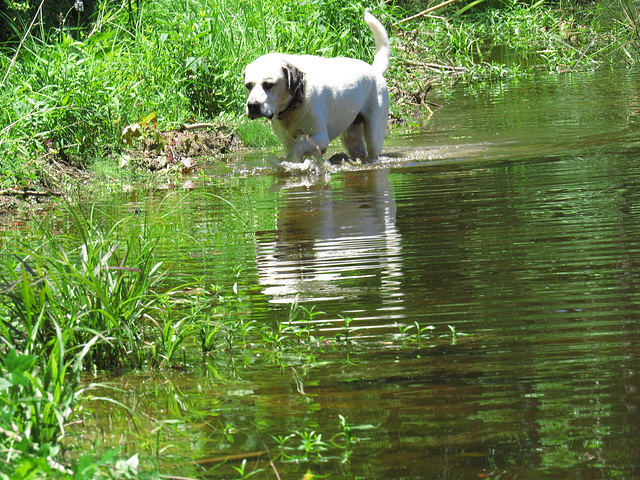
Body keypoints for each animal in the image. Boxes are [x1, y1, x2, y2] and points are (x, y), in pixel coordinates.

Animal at [242, 11, 388, 164]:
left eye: (269, 85)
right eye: (248, 85)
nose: (252, 105)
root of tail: (375, 70)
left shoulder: (321, 137)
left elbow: (298, 145)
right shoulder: (286, 141)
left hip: (374, 132)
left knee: (373, 147)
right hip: (352, 139)